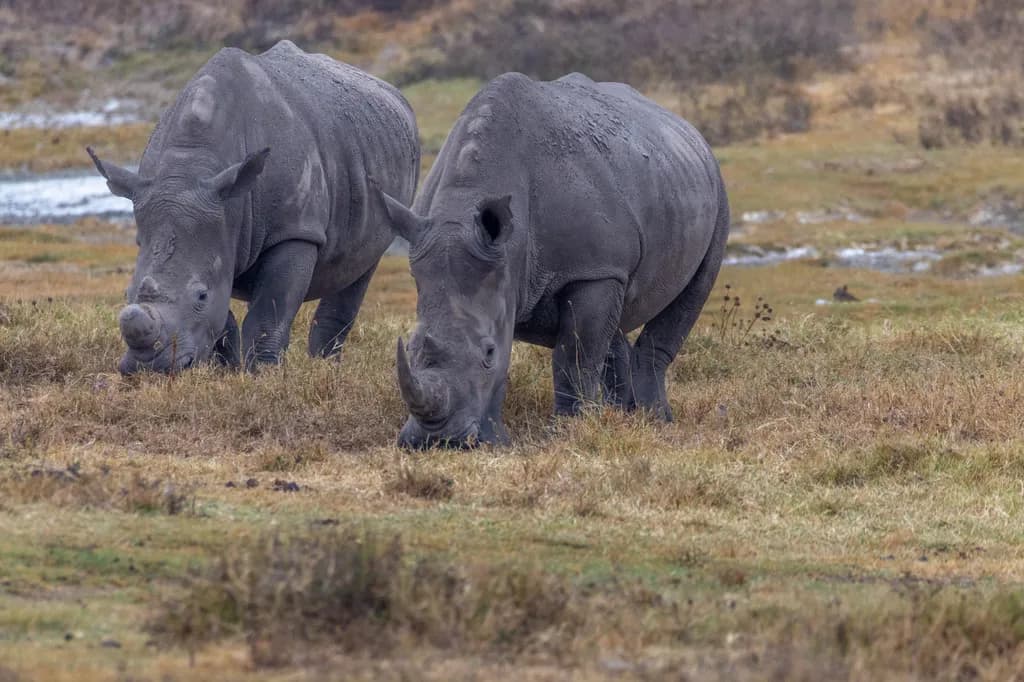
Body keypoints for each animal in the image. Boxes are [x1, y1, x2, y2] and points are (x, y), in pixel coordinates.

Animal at [88, 40, 419, 374]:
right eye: (126, 293)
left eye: (201, 295)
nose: (148, 368)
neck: (190, 168)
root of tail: (395, 94)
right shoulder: (216, 225)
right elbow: (223, 317)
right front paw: (228, 371)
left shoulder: (295, 229)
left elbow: (267, 315)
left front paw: (263, 374)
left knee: (362, 266)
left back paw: (326, 368)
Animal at [375, 72, 729, 448]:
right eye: (410, 348)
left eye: (489, 353)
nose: (439, 440)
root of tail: (689, 130)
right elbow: (586, 345)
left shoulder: (593, 270)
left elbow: (573, 356)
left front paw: (568, 431)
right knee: (614, 324)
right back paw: (622, 416)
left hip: (715, 191)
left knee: (691, 293)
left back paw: (655, 420)